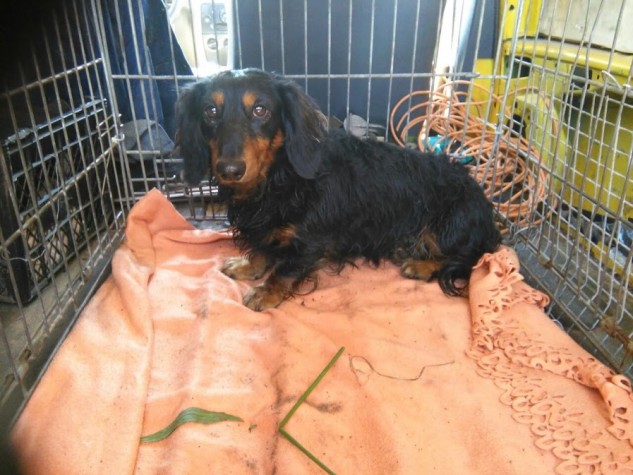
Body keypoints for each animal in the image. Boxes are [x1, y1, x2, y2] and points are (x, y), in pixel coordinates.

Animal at [175, 68, 502, 311]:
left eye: (260, 110)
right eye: (210, 111)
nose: (230, 170)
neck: (279, 178)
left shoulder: (312, 241)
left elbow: (285, 269)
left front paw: (266, 291)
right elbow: (262, 249)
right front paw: (248, 265)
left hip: (452, 222)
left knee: (470, 258)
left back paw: (421, 266)